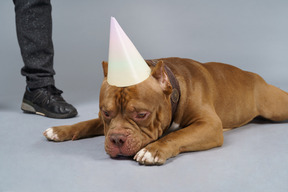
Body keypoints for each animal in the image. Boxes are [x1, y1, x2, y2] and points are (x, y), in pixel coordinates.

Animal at [42, 57, 288, 165]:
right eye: (106, 113)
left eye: (141, 115)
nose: (117, 139)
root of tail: (254, 75)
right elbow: (86, 123)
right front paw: (61, 130)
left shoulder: (209, 125)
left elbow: (178, 135)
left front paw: (153, 150)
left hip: (276, 106)